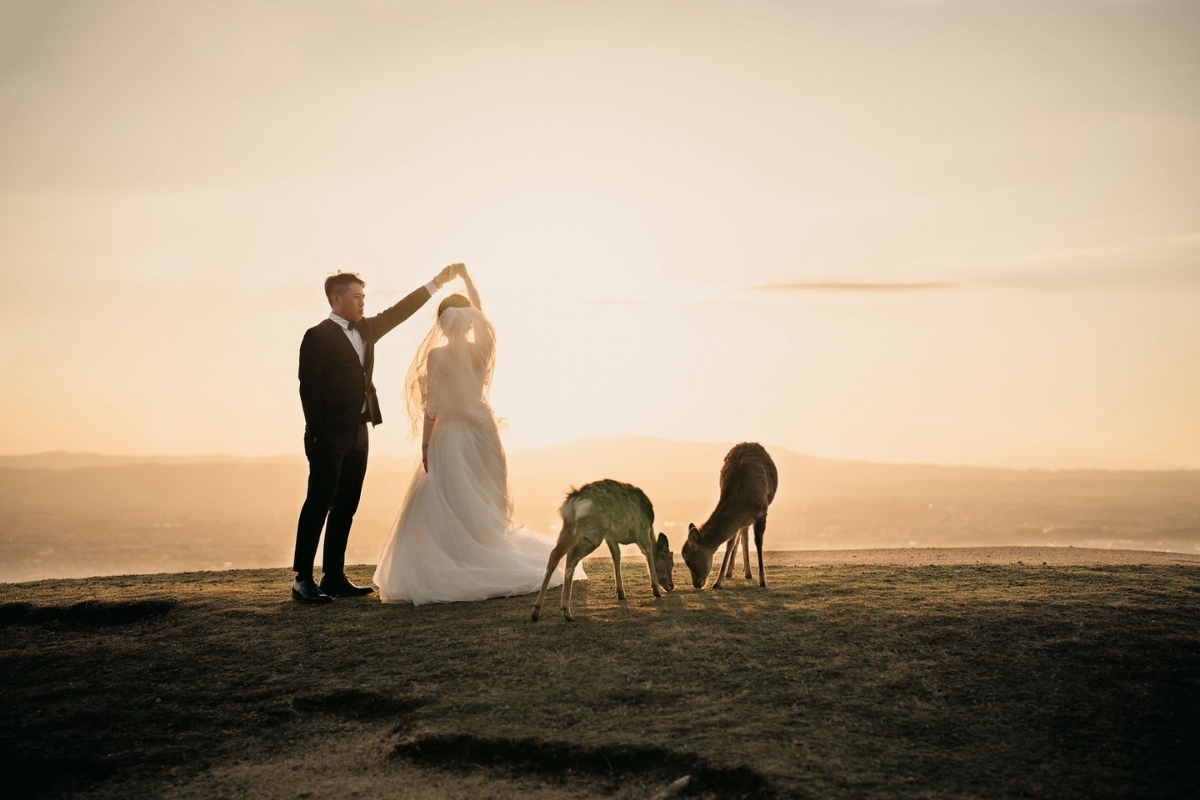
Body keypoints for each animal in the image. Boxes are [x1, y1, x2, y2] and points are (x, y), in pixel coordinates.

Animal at [535, 479, 676, 623]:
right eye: (670, 562)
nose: (671, 586)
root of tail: (573, 501)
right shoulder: (642, 528)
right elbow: (648, 553)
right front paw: (656, 590)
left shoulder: (611, 538)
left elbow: (616, 557)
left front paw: (621, 593)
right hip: (594, 530)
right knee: (572, 554)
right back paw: (567, 612)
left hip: (568, 528)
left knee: (554, 554)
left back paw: (536, 611)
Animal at [686, 441, 777, 592]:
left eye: (689, 560)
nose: (696, 584)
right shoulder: (741, 518)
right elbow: (730, 543)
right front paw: (718, 581)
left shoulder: (762, 511)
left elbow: (758, 542)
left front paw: (763, 581)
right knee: (741, 535)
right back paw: (736, 572)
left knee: (745, 534)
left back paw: (748, 572)